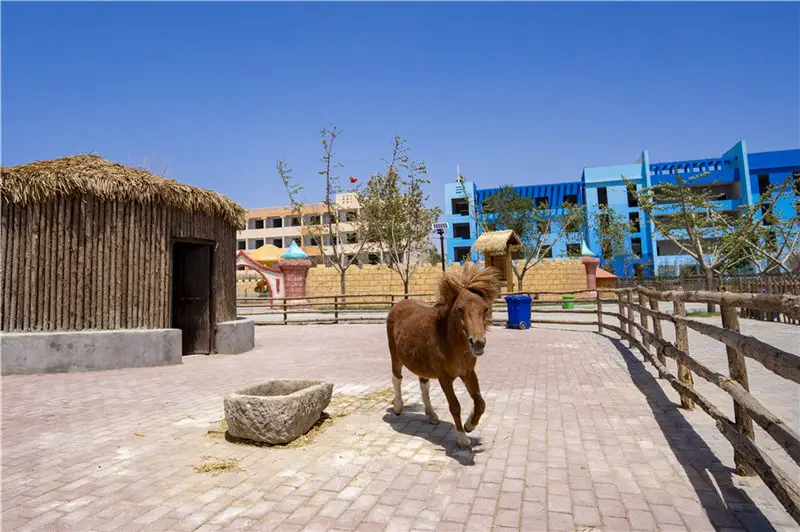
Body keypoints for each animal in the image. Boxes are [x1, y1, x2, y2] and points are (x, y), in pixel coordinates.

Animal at [386, 264, 500, 450]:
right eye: (460, 309)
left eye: (485, 308)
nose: (478, 343)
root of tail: (399, 304)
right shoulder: (444, 377)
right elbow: (455, 406)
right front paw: (462, 438)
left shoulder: (468, 373)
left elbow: (480, 402)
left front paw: (470, 425)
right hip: (395, 357)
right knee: (397, 379)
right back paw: (398, 407)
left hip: (421, 363)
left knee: (423, 384)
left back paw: (431, 415)